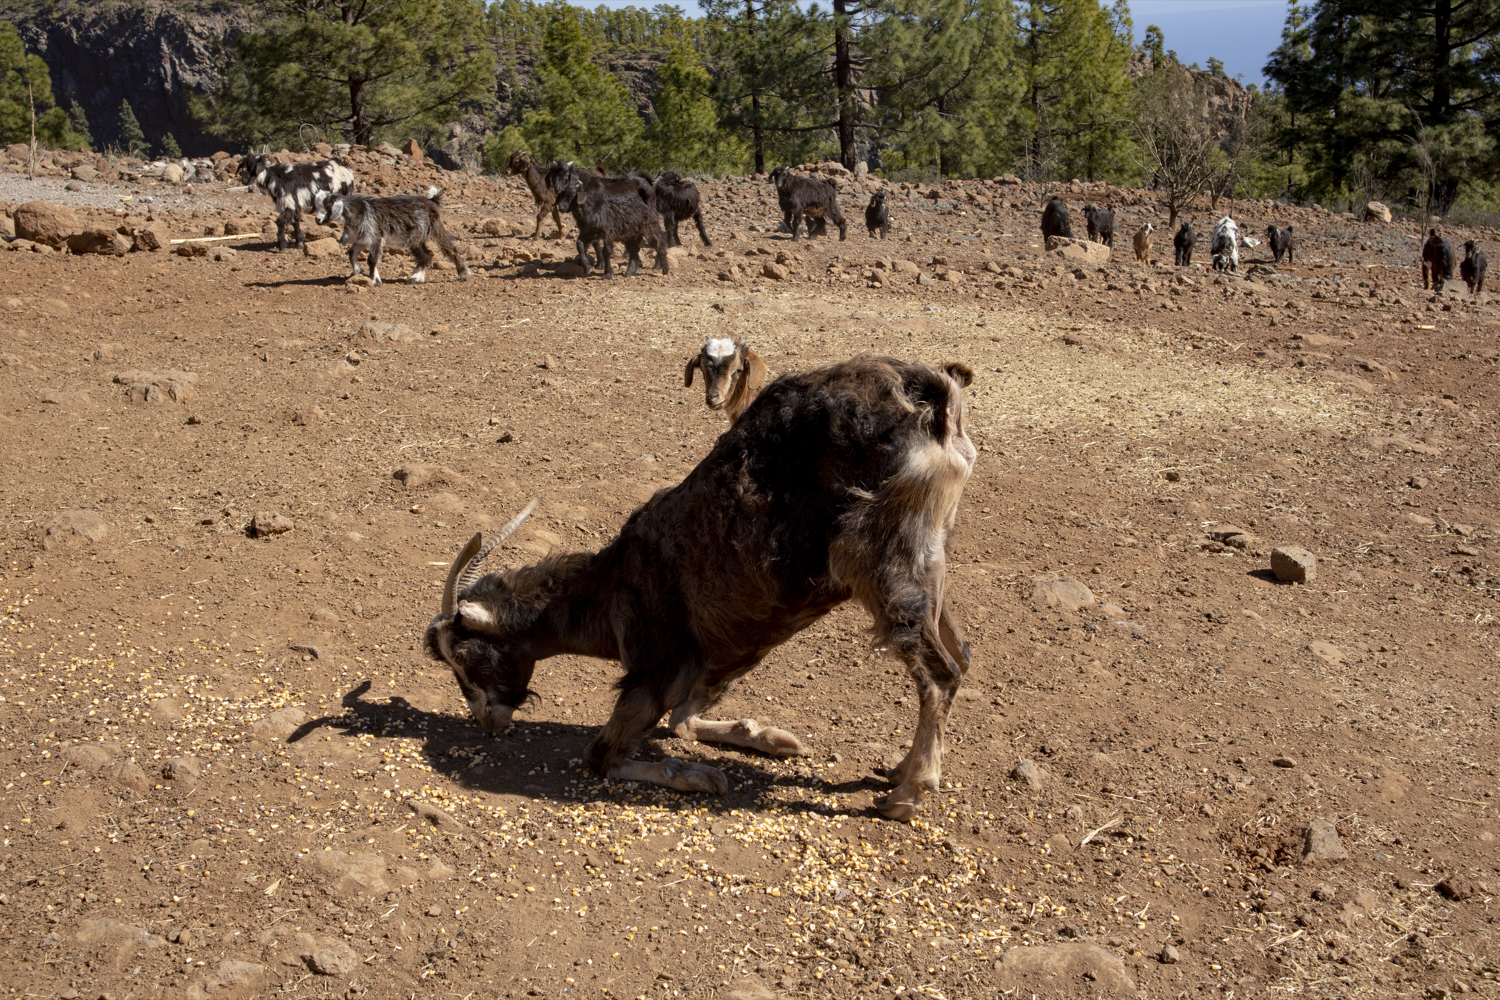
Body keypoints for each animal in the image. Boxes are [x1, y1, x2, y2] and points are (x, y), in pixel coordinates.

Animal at [315, 186, 469, 286]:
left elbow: (371, 259)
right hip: (415, 239)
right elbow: (352, 252)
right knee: (427, 255)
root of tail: (431, 201)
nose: (317, 220)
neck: (358, 212)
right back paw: (415, 278)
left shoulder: (376, 237)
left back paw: (463, 273)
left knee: (450, 249)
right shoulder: (363, 239)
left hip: (435, 230)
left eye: (327, 205)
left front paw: (374, 280)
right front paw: (358, 271)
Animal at [424, 356, 976, 821]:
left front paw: (698, 775)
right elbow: (683, 722)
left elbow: (602, 756)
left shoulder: (659, 663)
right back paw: (901, 769)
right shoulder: (721, 655)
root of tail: (932, 399)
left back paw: (907, 793)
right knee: (961, 655)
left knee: (939, 673)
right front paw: (770, 738)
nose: (487, 723)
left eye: (466, 655)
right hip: (932, 556)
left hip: (880, 557)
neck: (614, 586)